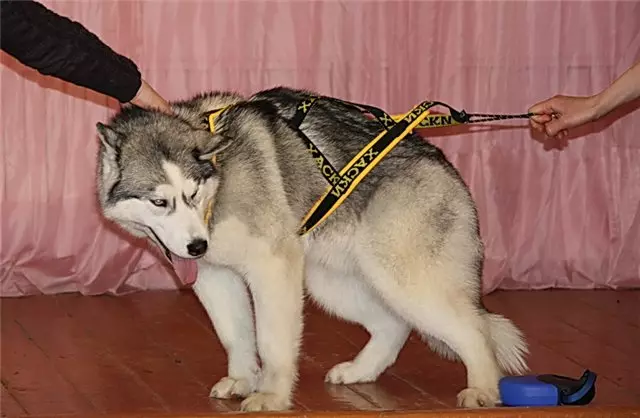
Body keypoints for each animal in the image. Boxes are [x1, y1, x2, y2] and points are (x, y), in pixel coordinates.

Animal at [92, 87, 528, 412]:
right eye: (159, 202)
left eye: (192, 194)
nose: (197, 246)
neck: (221, 183)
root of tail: (441, 162)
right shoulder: (216, 277)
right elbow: (235, 335)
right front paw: (242, 379)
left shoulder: (271, 269)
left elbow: (270, 341)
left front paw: (271, 395)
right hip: (333, 282)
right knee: (394, 324)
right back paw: (360, 371)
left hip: (406, 280)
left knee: (475, 330)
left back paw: (484, 389)